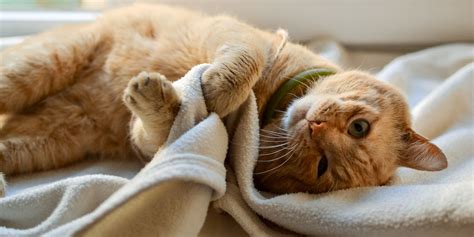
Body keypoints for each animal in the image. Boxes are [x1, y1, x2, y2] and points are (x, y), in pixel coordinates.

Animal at [0, 4, 446, 196]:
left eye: (322, 167)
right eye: (359, 128)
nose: (315, 127)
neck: (270, 104)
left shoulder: (147, 143)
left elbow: (161, 125)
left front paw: (158, 99)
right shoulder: (234, 34)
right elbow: (243, 63)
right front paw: (219, 87)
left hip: (46, 141)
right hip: (39, 65)